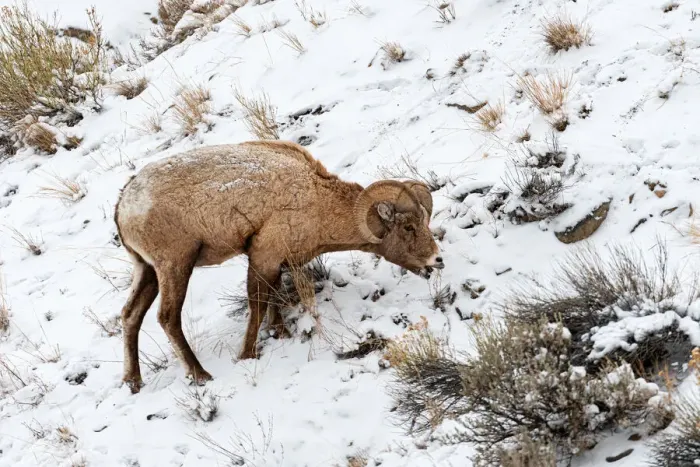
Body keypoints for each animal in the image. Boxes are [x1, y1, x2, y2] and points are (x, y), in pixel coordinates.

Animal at [114, 140, 444, 393]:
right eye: (408, 227)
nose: (436, 261)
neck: (317, 202)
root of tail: (124, 205)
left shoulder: (277, 263)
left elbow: (274, 296)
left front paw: (280, 332)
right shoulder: (263, 256)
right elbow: (258, 303)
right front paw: (247, 354)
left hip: (147, 271)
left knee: (130, 315)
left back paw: (133, 381)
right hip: (175, 267)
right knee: (167, 318)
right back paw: (201, 374)